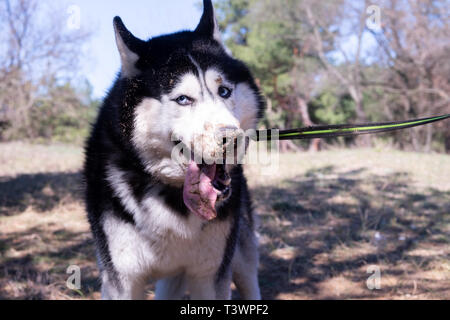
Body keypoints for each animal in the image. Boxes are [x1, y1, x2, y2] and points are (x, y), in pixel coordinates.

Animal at [83, 0, 264, 300]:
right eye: (183, 99)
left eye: (224, 91)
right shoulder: (122, 280)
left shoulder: (209, 275)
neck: (172, 194)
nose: (232, 139)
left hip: (241, 256)